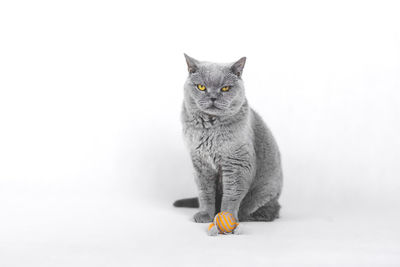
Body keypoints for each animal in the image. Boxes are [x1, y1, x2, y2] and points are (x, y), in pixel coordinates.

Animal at [173, 55, 282, 226]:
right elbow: (205, 193)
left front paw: (226, 218)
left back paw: (252, 215)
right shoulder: (201, 164)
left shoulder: (237, 163)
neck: (210, 129)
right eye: (201, 87)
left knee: (272, 209)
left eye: (225, 88)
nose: (212, 97)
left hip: (266, 190)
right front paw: (205, 215)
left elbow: (231, 196)